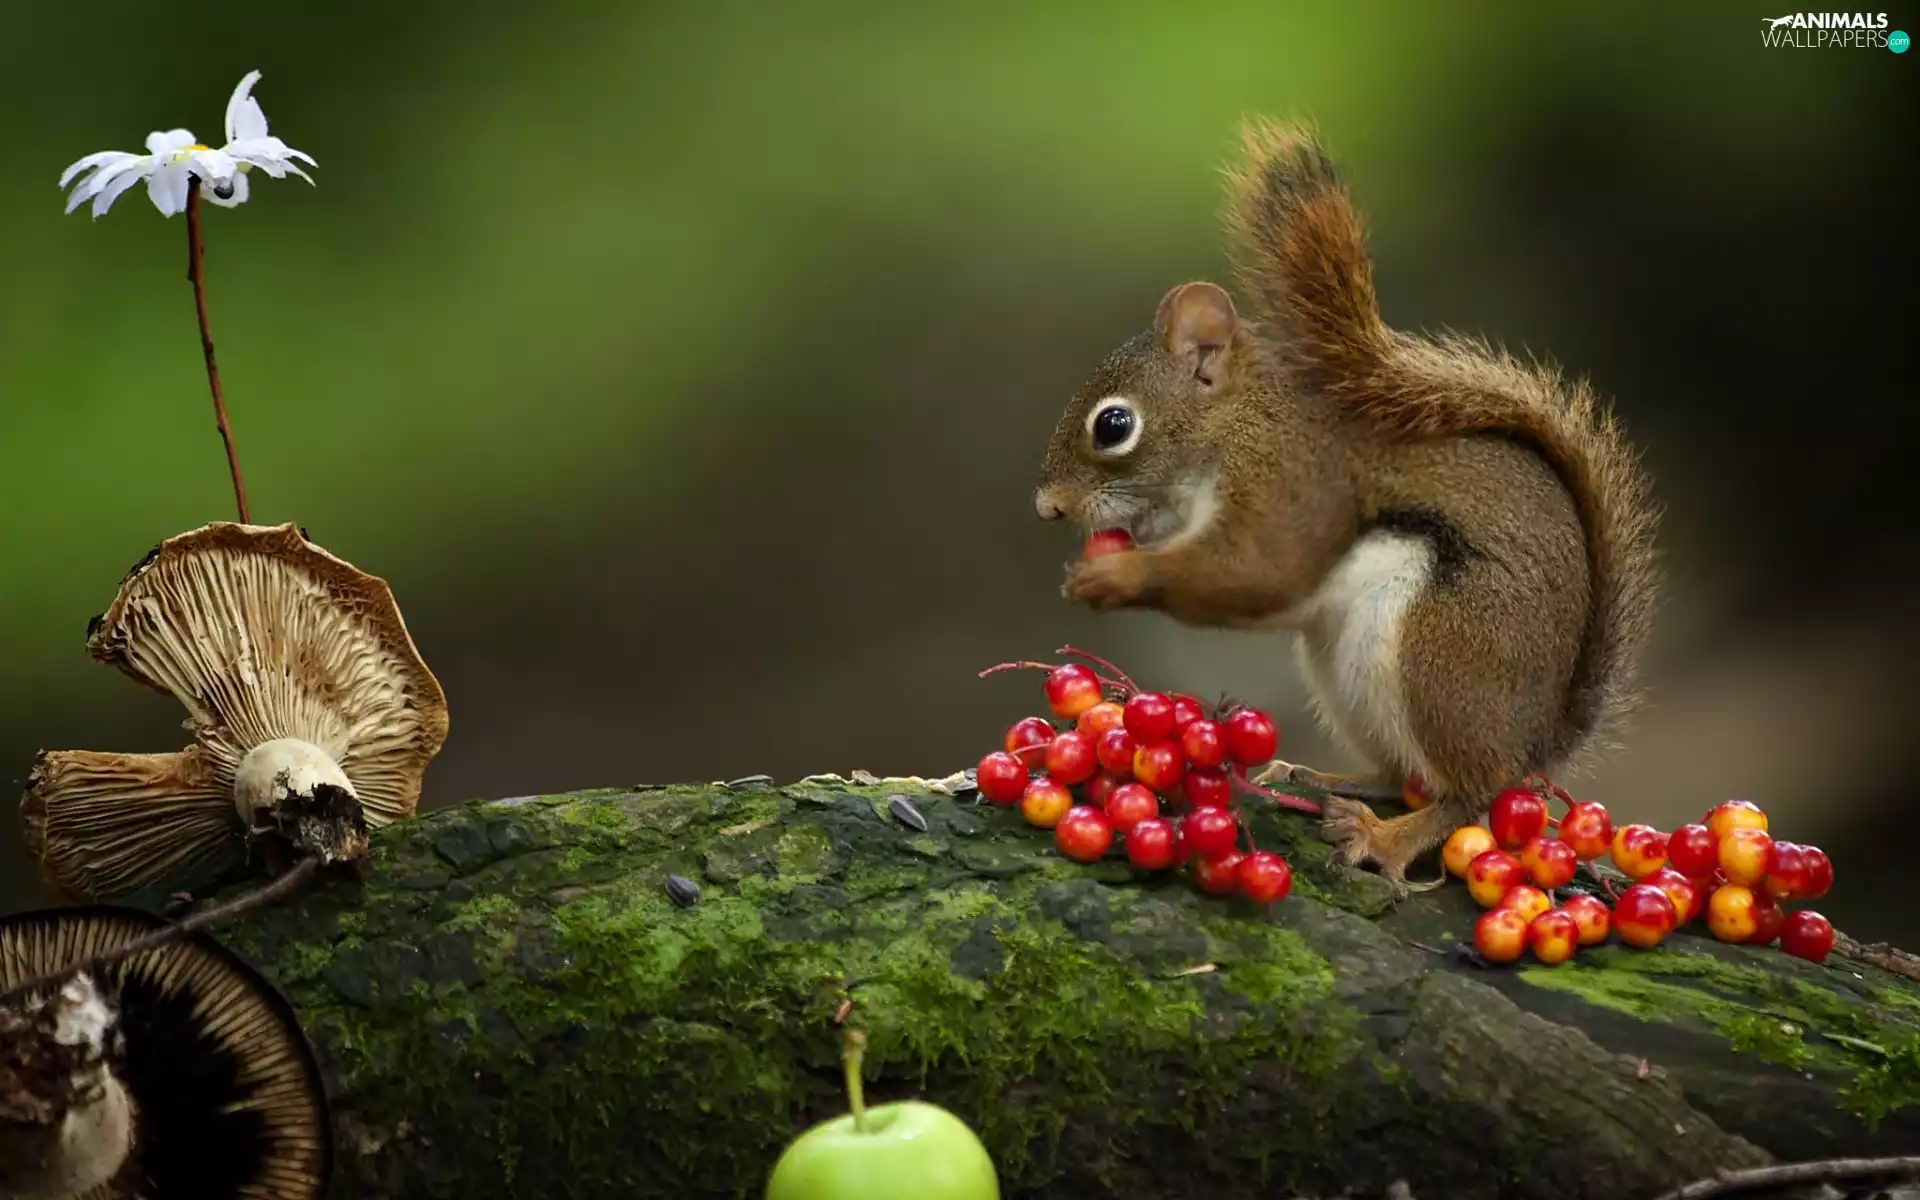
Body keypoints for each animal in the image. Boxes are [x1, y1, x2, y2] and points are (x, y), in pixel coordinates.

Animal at [1031, 118, 1660, 895]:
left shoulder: (1290, 485)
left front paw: (1114, 578)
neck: (1237, 425)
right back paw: (1327, 779)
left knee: (1468, 794)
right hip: (1343, 673)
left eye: (1114, 425)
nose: (1048, 507)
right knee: (1401, 774)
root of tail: (1538, 740)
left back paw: (1384, 840)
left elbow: (1254, 571)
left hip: (1441, 656)